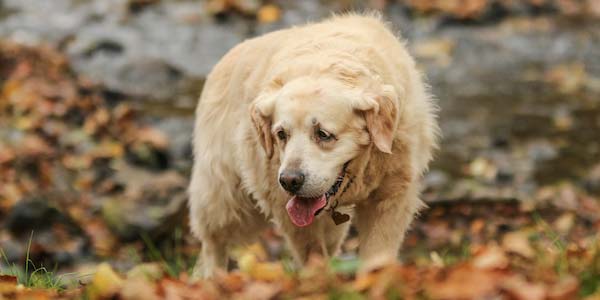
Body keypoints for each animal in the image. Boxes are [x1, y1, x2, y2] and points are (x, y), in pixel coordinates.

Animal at [190, 12, 438, 278]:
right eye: (281, 134)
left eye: (323, 134)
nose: (290, 180)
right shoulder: (285, 206)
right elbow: (312, 253)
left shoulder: (391, 195)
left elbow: (377, 254)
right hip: (224, 194)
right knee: (214, 242)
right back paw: (213, 279)